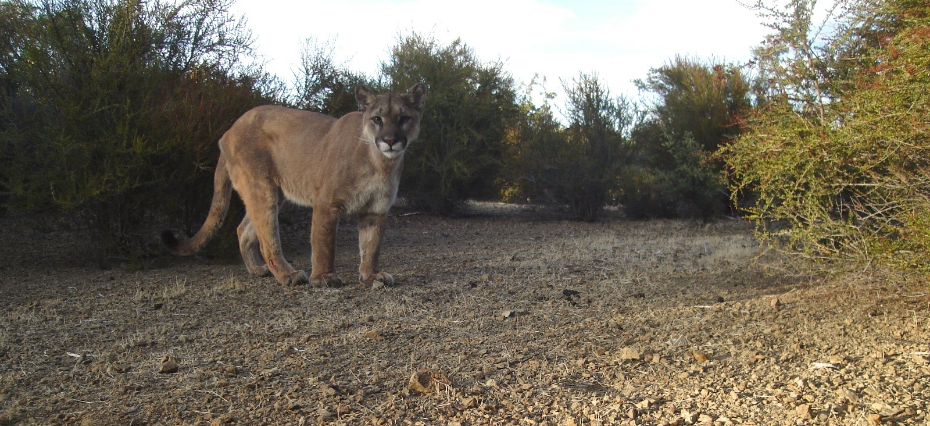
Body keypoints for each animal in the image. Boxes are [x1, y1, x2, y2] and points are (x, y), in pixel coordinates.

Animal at [162, 83, 428, 288]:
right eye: (377, 119)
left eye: (404, 119)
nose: (390, 140)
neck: (380, 163)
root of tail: (227, 131)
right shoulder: (327, 204)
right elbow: (324, 243)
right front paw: (324, 278)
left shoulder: (376, 210)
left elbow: (371, 247)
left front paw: (371, 275)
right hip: (262, 189)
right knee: (267, 239)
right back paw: (288, 275)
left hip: (273, 194)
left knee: (243, 229)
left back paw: (258, 270)